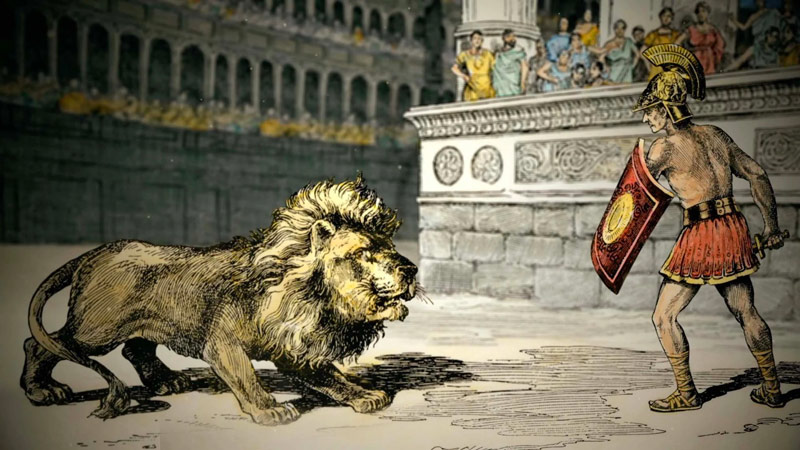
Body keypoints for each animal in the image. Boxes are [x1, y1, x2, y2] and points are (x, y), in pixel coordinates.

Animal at [21, 176, 418, 425]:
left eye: (390, 249)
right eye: (363, 253)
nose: (412, 268)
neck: (315, 299)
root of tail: (93, 252)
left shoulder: (294, 349)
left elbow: (330, 377)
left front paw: (364, 395)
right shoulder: (222, 342)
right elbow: (245, 376)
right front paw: (269, 411)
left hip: (145, 325)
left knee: (135, 349)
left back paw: (166, 382)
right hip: (97, 329)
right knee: (43, 344)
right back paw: (42, 390)